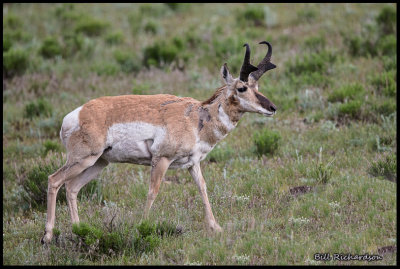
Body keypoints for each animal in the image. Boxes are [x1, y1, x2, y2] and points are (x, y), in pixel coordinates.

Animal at [41, 40, 278, 243]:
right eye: (242, 88)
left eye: (257, 87)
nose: (272, 108)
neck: (195, 116)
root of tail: (76, 114)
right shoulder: (161, 159)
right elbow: (152, 191)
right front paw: (143, 226)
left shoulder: (193, 163)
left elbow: (202, 188)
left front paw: (216, 227)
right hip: (83, 159)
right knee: (54, 180)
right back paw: (47, 236)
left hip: (98, 162)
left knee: (71, 187)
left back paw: (79, 230)